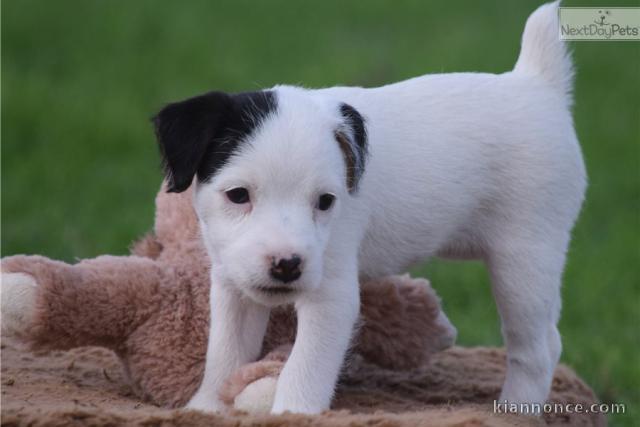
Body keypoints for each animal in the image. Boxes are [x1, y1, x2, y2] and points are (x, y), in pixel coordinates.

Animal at [150, 0, 584, 414]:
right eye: (238, 195)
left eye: (325, 202)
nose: (288, 265)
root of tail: (536, 84)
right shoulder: (232, 285)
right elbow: (225, 355)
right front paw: (205, 407)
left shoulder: (330, 294)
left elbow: (305, 366)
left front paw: (292, 411)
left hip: (524, 259)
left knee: (538, 349)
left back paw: (516, 409)